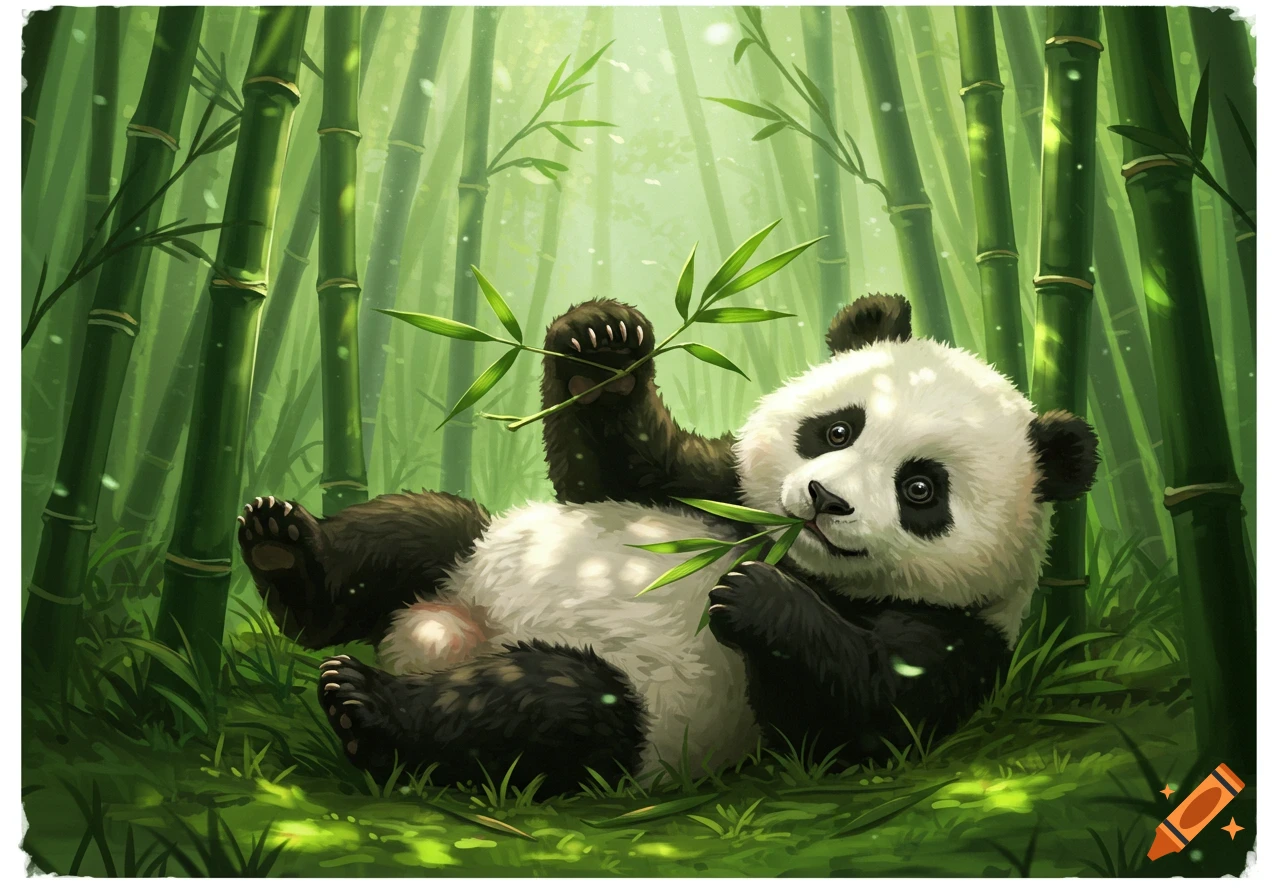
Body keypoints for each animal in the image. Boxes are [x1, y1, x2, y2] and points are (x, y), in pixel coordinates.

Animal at [237, 293, 1098, 794]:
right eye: (837, 429)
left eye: (921, 489)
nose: (824, 501)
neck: (794, 555)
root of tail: (443, 632)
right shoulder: (725, 491)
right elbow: (619, 469)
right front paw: (604, 344)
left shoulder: (963, 634)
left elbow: (865, 718)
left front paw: (758, 601)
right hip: (476, 552)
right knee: (425, 530)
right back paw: (287, 556)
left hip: (637, 714)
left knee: (553, 712)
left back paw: (368, 705)